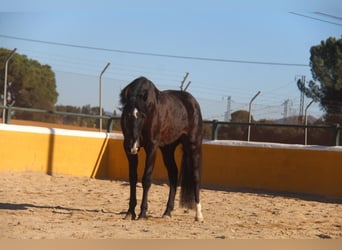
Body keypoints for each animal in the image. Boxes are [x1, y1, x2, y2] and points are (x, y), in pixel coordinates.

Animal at [119, 76, 203, 221]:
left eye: (142, 115)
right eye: (127, 114)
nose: (134, 145)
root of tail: (192, 102)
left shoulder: (152, 147)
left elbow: (146, 179)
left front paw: (142, 213)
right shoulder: (127, 148)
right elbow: (133, 178)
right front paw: (130, 212)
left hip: (193, 145)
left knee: (195, 176)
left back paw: (199, 215)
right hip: (167, 149)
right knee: (173, 174)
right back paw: (167, 212)